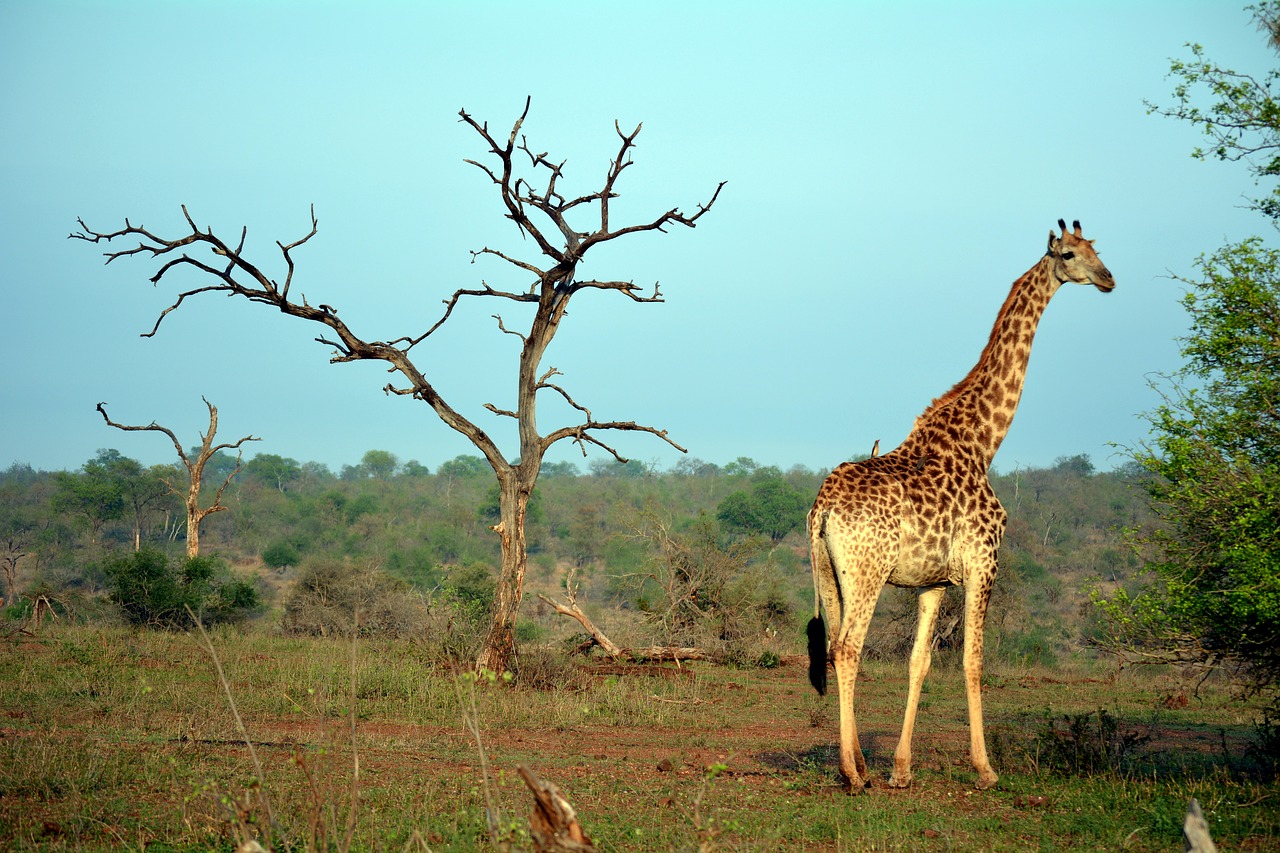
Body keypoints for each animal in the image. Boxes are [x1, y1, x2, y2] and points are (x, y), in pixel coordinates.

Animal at [808, 219, 1121, 788]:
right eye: (1069, 254)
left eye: (1097, 249)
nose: (1108, 278)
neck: (982, 442)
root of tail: (822, 508)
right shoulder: (983, 563)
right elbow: (973, 662)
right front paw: (985, 768)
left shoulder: (932, 581)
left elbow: (920, 663)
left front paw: (902, 770)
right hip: (866, 572)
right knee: (847, 649)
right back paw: (852, 773)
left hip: (829, 572)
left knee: (837, 646)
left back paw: (860, 763)